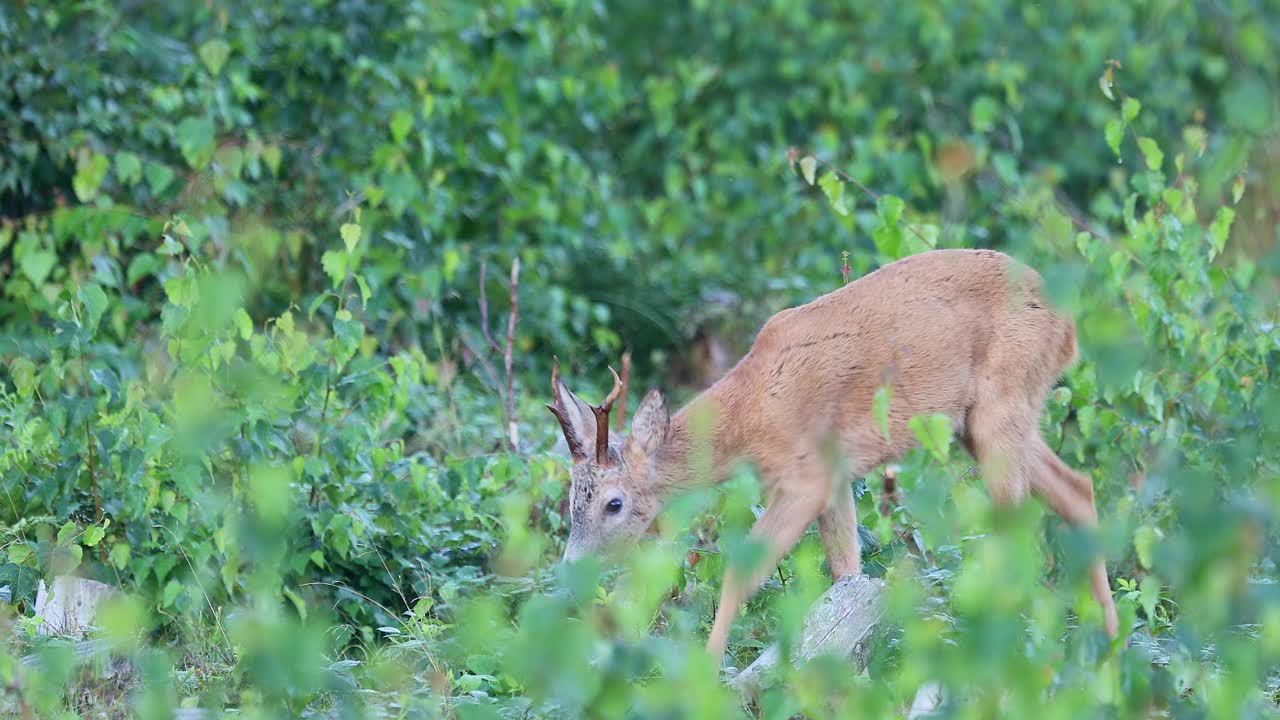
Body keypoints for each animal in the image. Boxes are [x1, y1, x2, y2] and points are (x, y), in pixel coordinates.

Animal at [550, 245, 1121, 655]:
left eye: (615, 503)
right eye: (571, 500)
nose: (568, 575)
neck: (749, 413)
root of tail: (1070, 324)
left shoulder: (806, 477)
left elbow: (741, 572)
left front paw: (705, 677)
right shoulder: (838, 474)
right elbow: (847, 575)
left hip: (1002, 404)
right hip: (978, 425)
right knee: (1077, 489)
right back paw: (1110, 648)